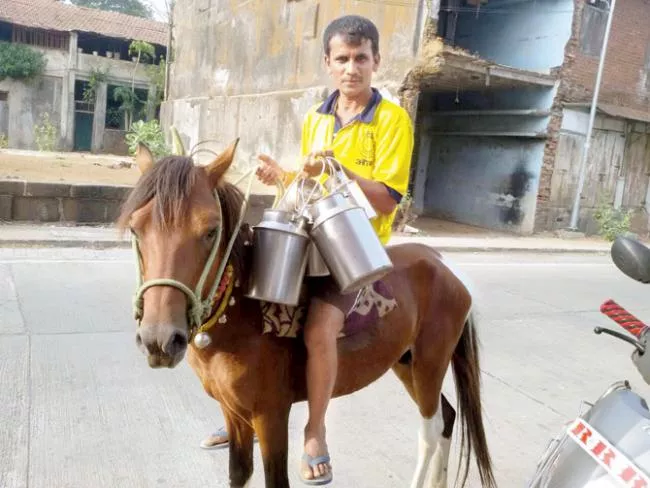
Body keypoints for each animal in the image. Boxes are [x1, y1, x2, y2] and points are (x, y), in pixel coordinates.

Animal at [120, 141, 496, 488]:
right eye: (137, 229)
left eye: (210, 231)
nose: (160, 340)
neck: (239, 318)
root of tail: (442, 263)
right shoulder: (233, 412)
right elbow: (238, 473)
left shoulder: (270, 414)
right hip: (405, 363)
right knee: (447, 417)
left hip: (430, 363)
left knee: (431, 430)